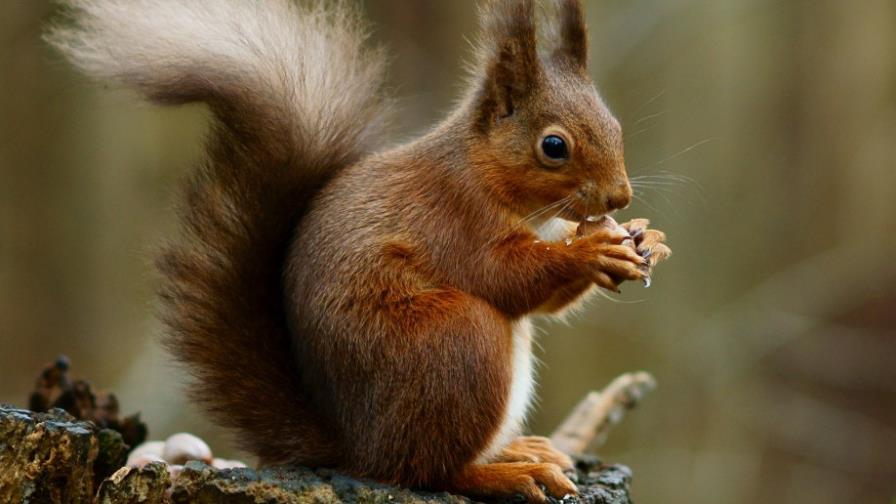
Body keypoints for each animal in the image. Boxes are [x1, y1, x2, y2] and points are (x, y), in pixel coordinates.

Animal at [48, 0, 670, 501]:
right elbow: (506, 277)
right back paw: (503, 473)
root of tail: (355, 447)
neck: (484, 174)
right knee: (425, 471)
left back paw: (518, 450)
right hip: (455, 341)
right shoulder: (454, 219)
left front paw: (646, 238)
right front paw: (592, 251)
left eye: (614, 124)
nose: (620, 195)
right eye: (554, 146)